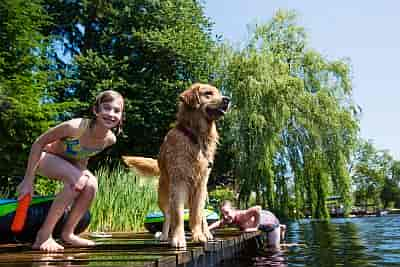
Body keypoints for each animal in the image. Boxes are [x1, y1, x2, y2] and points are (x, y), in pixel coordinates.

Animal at [122, 84, 230, 249]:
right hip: (163, 196)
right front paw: (178, 238)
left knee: (202, 215)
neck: (195, 137)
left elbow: (196, 215)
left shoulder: (200, 184)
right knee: (167, 216)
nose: (227, 99)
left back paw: (206, 233)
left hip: (202, 193)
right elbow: (177, 215)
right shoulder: (179, 182)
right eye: (208, 93)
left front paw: (199, 236)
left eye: (218, 92)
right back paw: (165, 236)